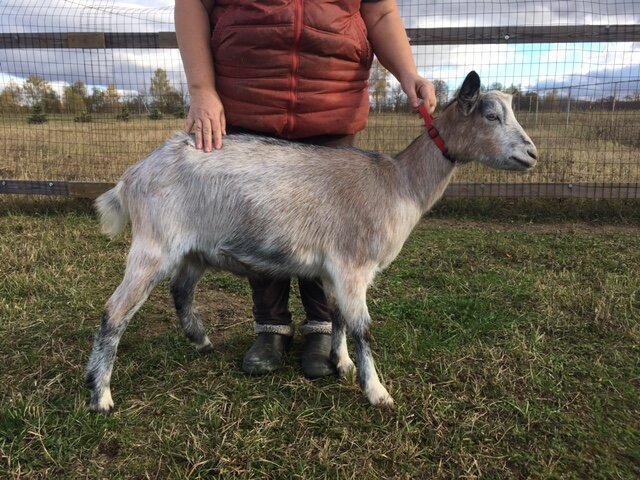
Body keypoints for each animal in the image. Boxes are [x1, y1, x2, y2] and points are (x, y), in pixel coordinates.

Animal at [85, 71, 536, 412]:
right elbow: (362, 327)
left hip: (192, 250)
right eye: (491, 115)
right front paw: (377, 392)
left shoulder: (337, 270)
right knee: (114, 312)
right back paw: (100, 396)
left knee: (181, 290)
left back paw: (201, 342)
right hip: (153, 246)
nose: (532, 154)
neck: (398, 183)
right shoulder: (352, 266)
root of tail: (132, 177)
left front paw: (341, 364)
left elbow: (337, 317)